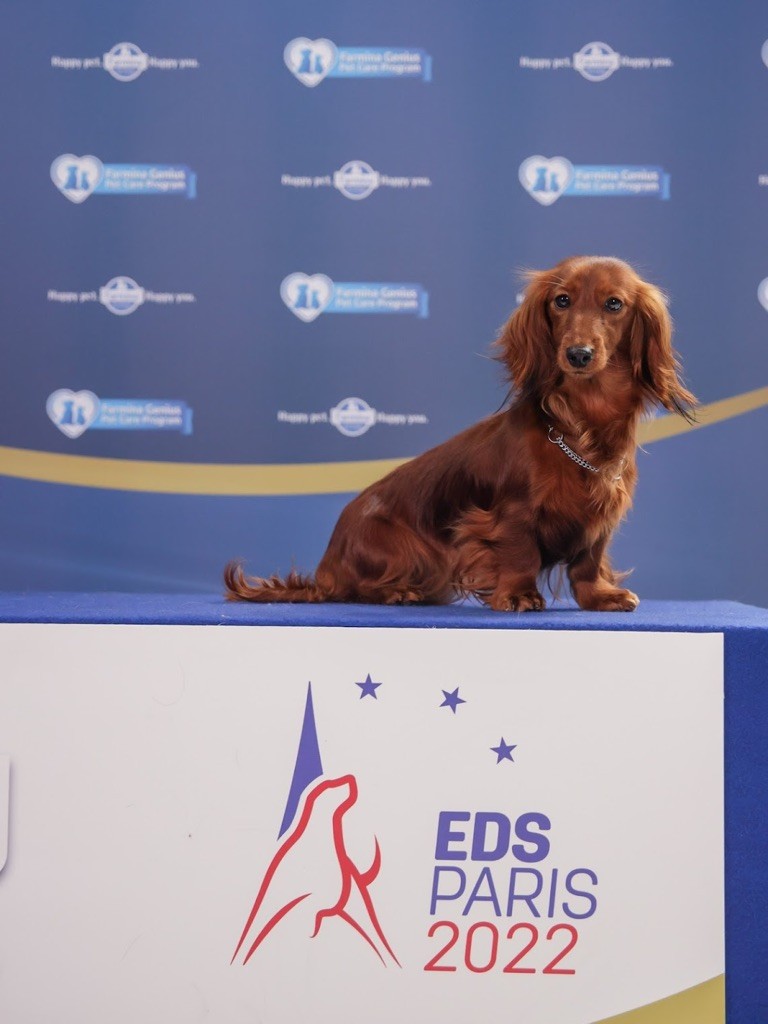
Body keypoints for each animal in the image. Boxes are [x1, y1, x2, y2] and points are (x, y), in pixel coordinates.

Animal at [225, 256, 695, 611]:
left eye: (614, 304)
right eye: (561, 300)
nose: (578, 354)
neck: (581, 426)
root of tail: (326, 566)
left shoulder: (601, 513)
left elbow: (588, 562)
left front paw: (600, 596)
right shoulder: (512, 512)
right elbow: (521, 552)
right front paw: (518, 595)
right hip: (411, 547)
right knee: (358, 587)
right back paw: (398, 591)